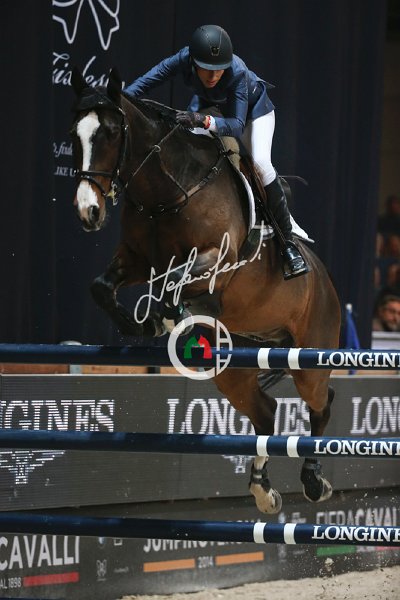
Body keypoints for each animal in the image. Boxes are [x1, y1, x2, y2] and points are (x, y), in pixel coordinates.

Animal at [70, 67, 341, 514]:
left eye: (109, 133)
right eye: (74, 135)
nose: (88, 212)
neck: (167, 190)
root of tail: (326, 281)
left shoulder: (217, 259)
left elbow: (172, 290)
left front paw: (165, 318)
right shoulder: (136, 259)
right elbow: (101, 287)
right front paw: (140, 325)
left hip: (310, 357)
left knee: (322, 400)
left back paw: (314, 481)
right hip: (234, 368)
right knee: (265, 412)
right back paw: (263, 491)